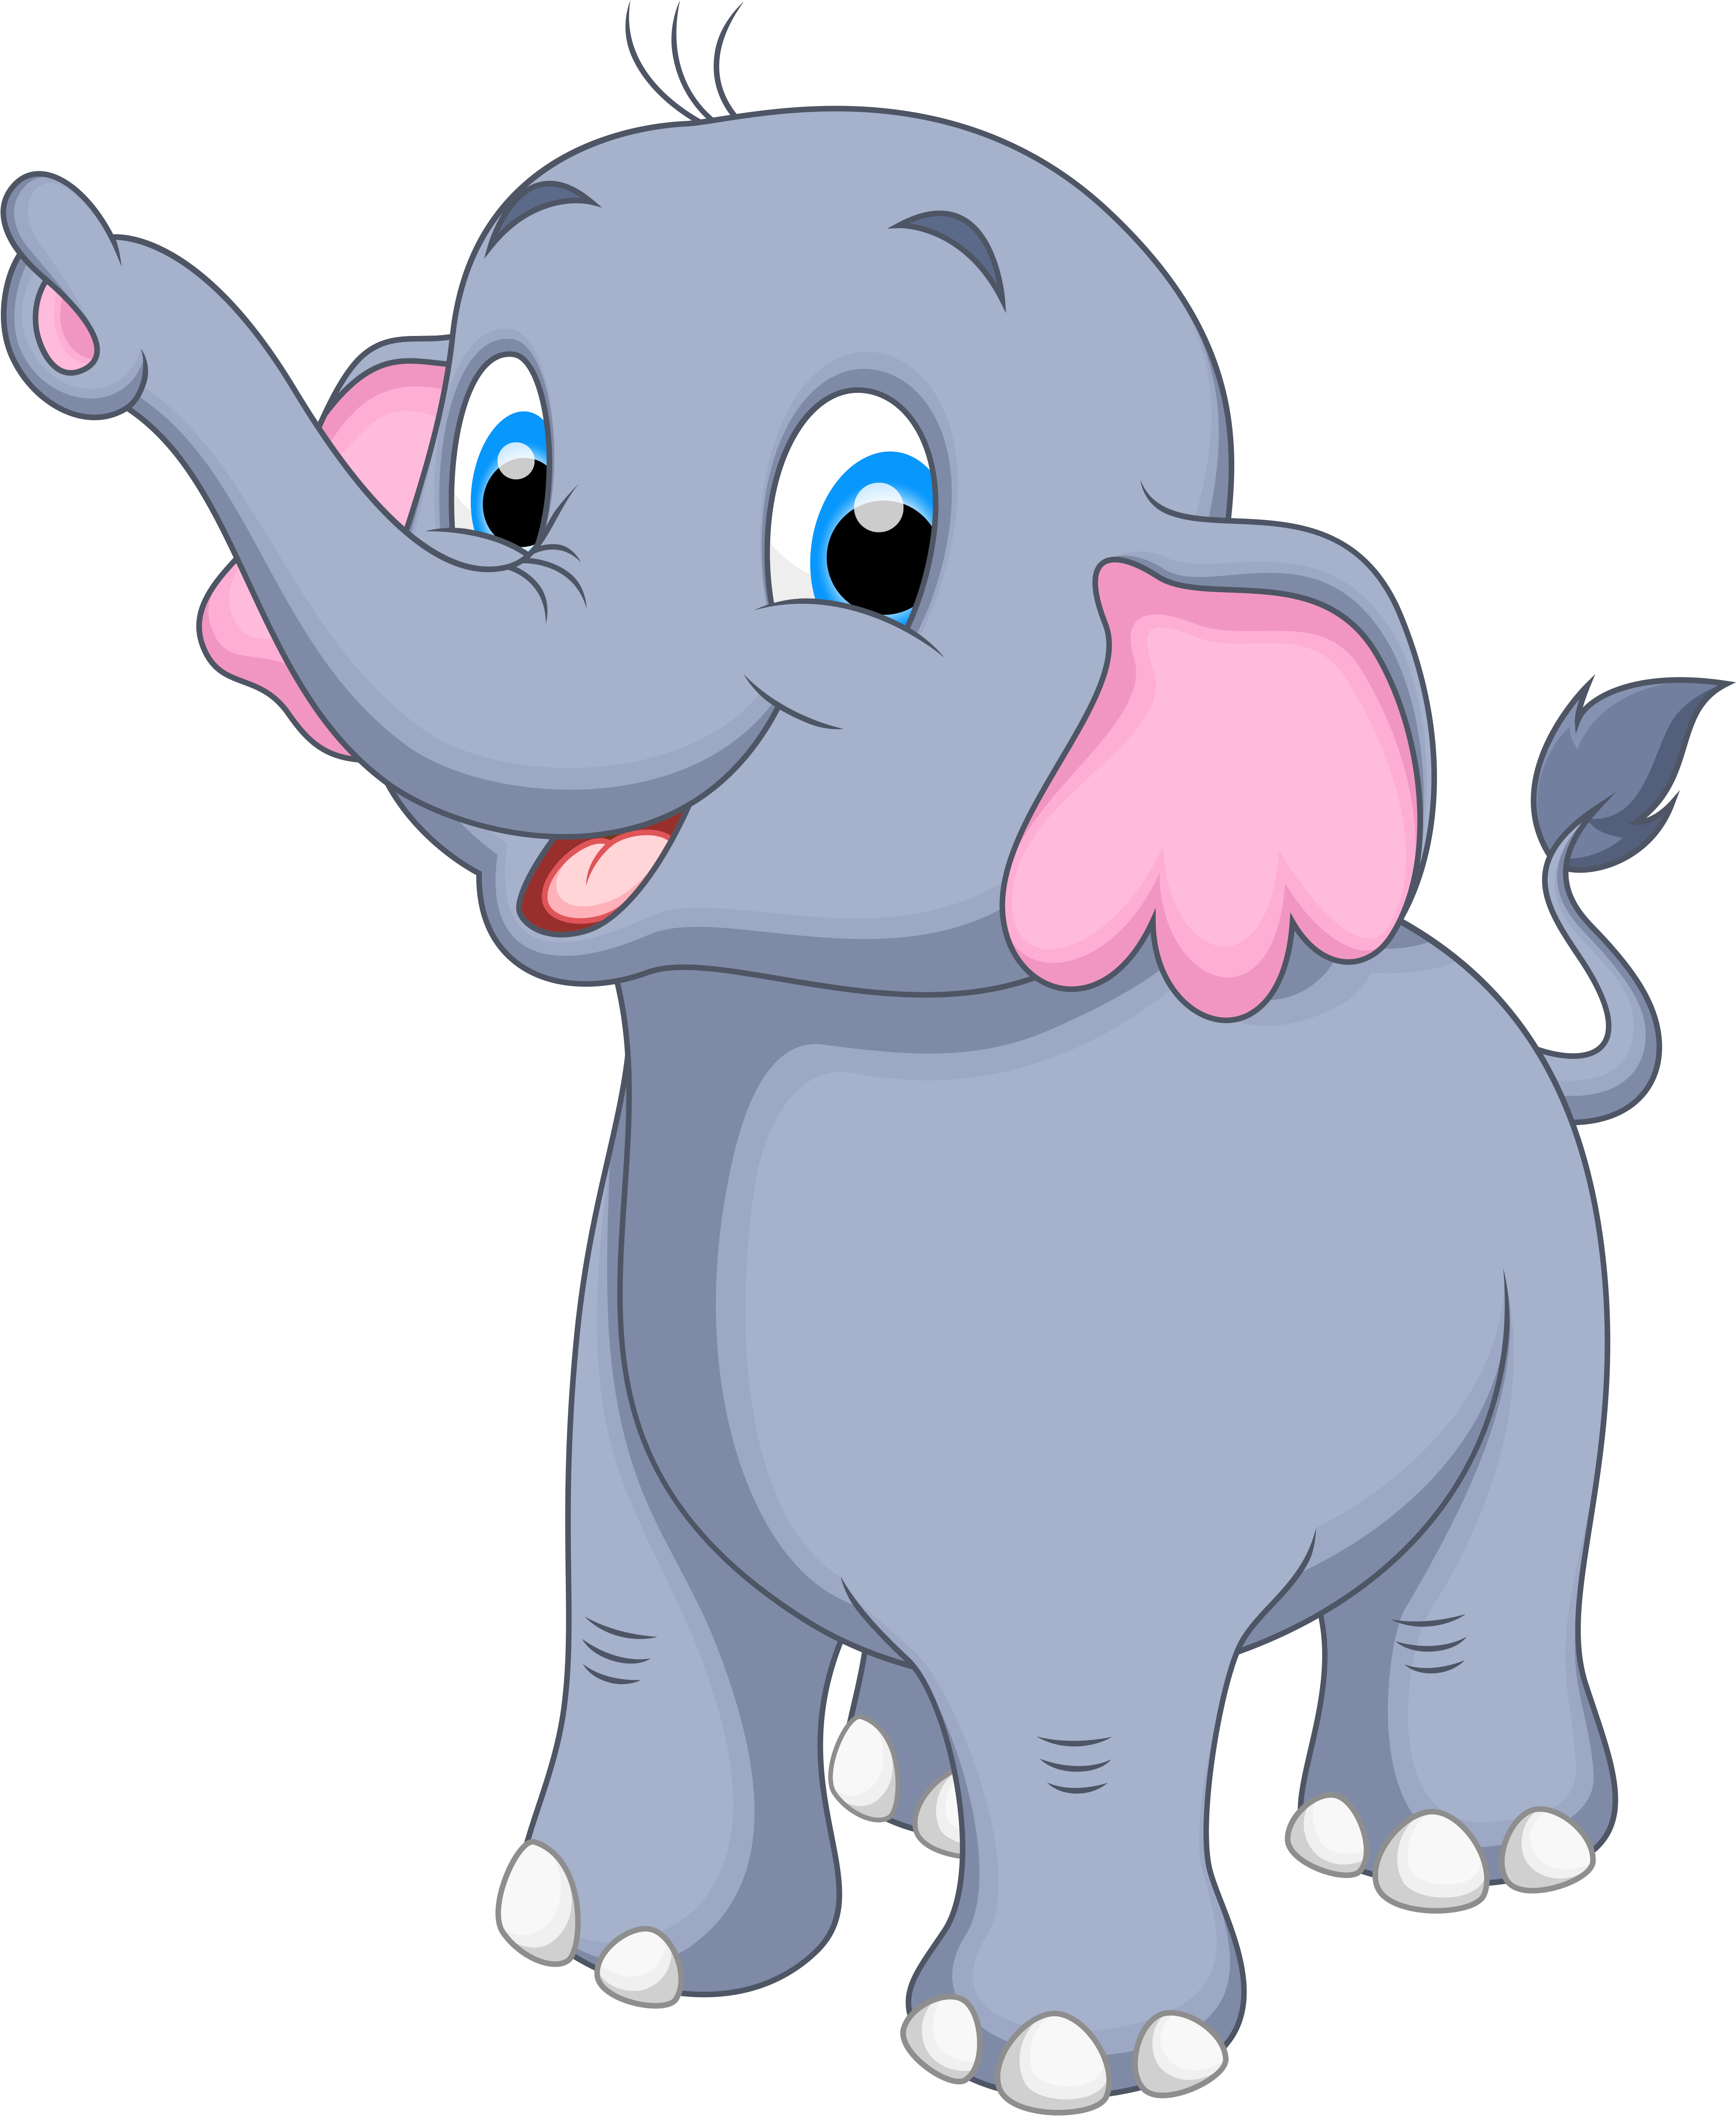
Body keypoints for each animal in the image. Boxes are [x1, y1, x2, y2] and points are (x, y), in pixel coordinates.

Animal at [5, 85, 1722, 2106]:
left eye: (873, 536)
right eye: (502, 467)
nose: (67, 280)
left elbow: (1077, 1704)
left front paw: (1052, 2052)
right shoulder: (626, 1367)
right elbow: (641, 1613)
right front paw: (615, 1948)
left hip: (1549, 1303)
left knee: (1471, 1580)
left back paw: (1451, 1847)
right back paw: (912, 1789)